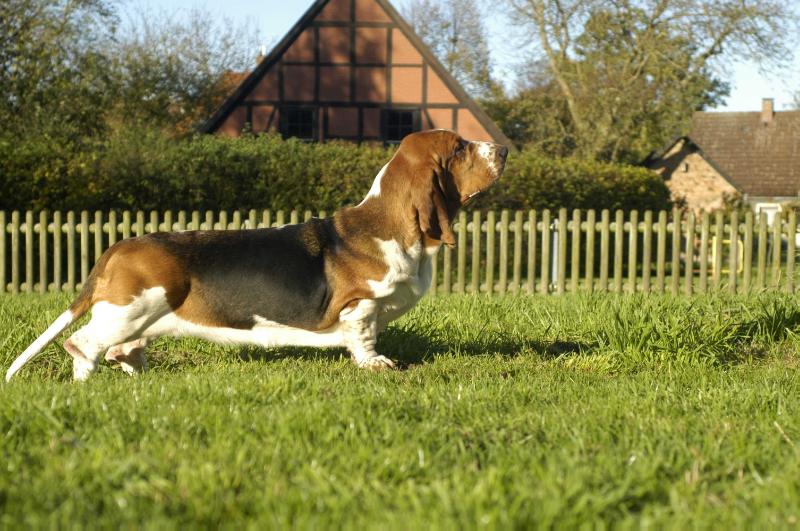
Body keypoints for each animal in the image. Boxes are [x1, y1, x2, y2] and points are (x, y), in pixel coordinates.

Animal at [4, 130, 506, 382]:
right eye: (459, 147)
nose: (503, 148)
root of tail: (117, 247)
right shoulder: (360, 306)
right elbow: (364, 338)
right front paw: (376, 365)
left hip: (138, 321)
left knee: (119, 350)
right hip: (133, 307)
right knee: (83, 345)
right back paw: (85, 385)